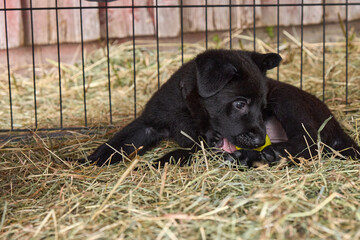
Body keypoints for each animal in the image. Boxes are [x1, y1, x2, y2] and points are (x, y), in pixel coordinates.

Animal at [80, 49, 358, 167]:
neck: (188, 111)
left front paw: (158, 163)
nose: (260, 140)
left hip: (289, 102)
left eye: (263, 107)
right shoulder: (149, 123)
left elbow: (180, 152)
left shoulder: (201, 143)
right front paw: (86, 162)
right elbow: (117, 142)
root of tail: (334, 120)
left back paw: (259, 155)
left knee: (310, 143)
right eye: (240, 104)